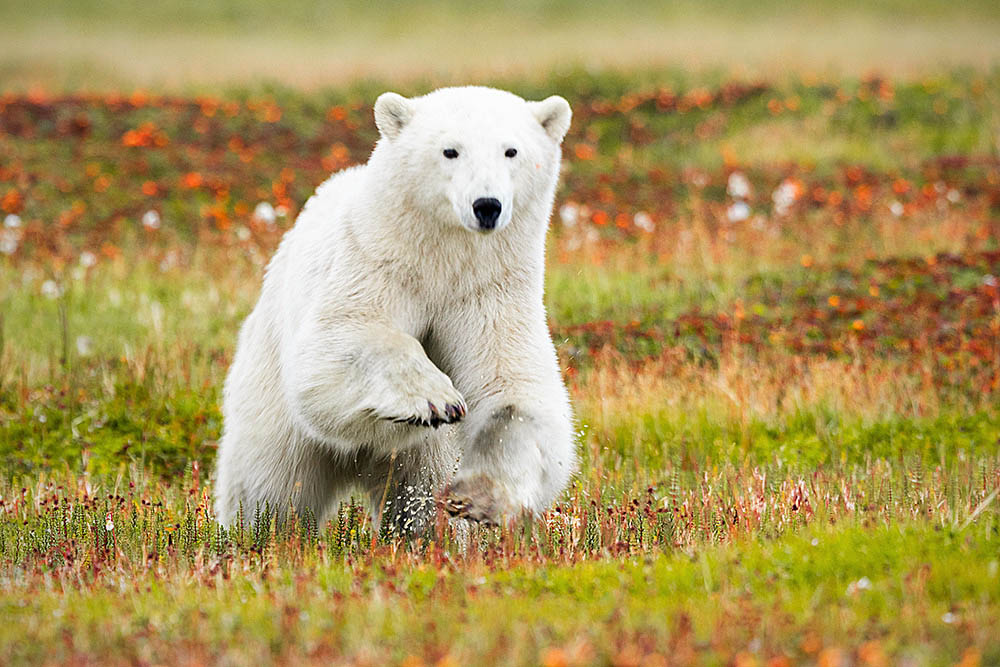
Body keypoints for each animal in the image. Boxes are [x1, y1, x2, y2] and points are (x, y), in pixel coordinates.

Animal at [215, 86, 580, 536]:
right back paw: (261, 534)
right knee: (271, 484)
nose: (487, 205)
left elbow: (513, 391)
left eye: (511, 150)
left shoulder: (491, 287)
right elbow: (335, 348)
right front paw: (434, 398)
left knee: (420, 493)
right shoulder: (374, 261)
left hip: (425, 455)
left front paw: (479, 496)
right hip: (269, 396)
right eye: (450, 151)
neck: (443, 258)